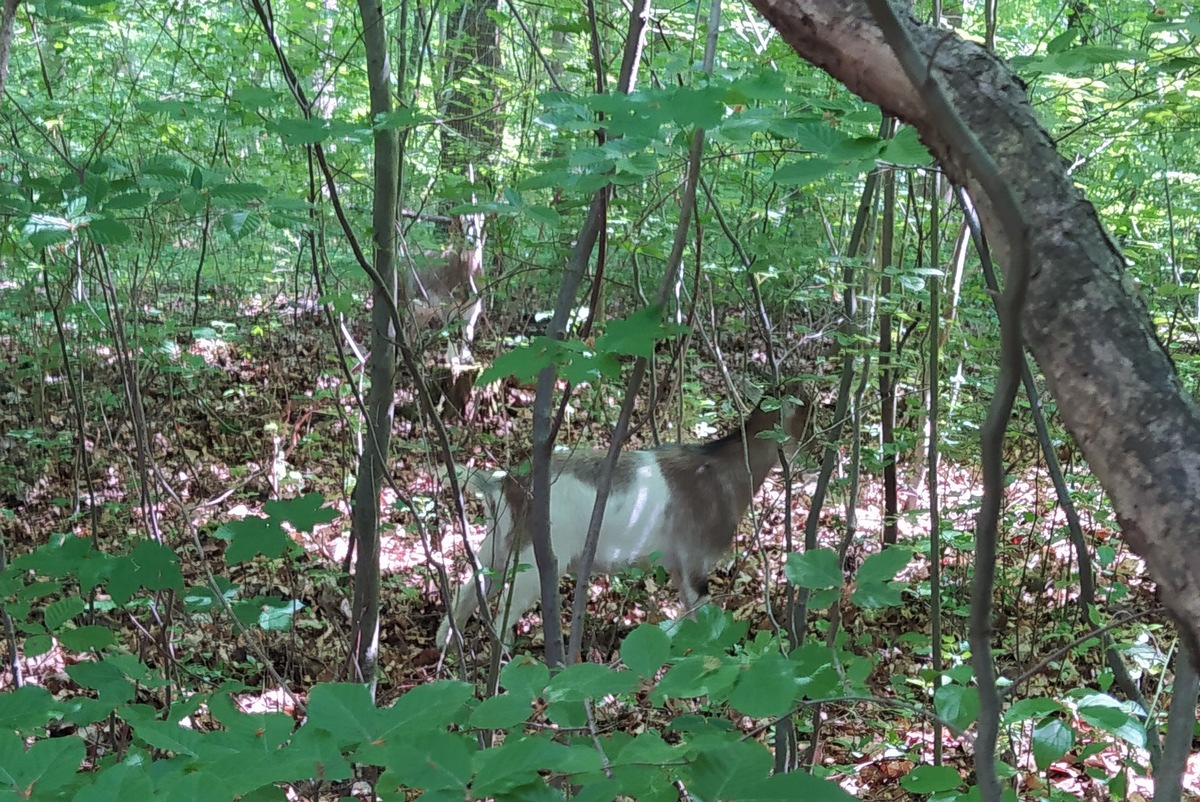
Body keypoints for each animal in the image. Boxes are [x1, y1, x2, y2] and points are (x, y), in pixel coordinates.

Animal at [403, 211, 487, 364]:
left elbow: (468, 331)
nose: (470, 241)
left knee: (412, 329)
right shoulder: (446, 303)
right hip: (405, 297)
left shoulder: (474, 305)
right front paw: (452, 359)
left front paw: (467, 358)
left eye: (481, 219)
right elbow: (451, 330)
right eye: (462, 221)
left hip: (425, 310)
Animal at [436, 391, 811, 648]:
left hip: (499, 544)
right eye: (808, 410)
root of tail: (503, 484)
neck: (720, 471)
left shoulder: (678, 565)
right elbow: (701, 617)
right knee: (504, 612)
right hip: (533, 557)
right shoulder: (695, 561)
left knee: (469, 590)